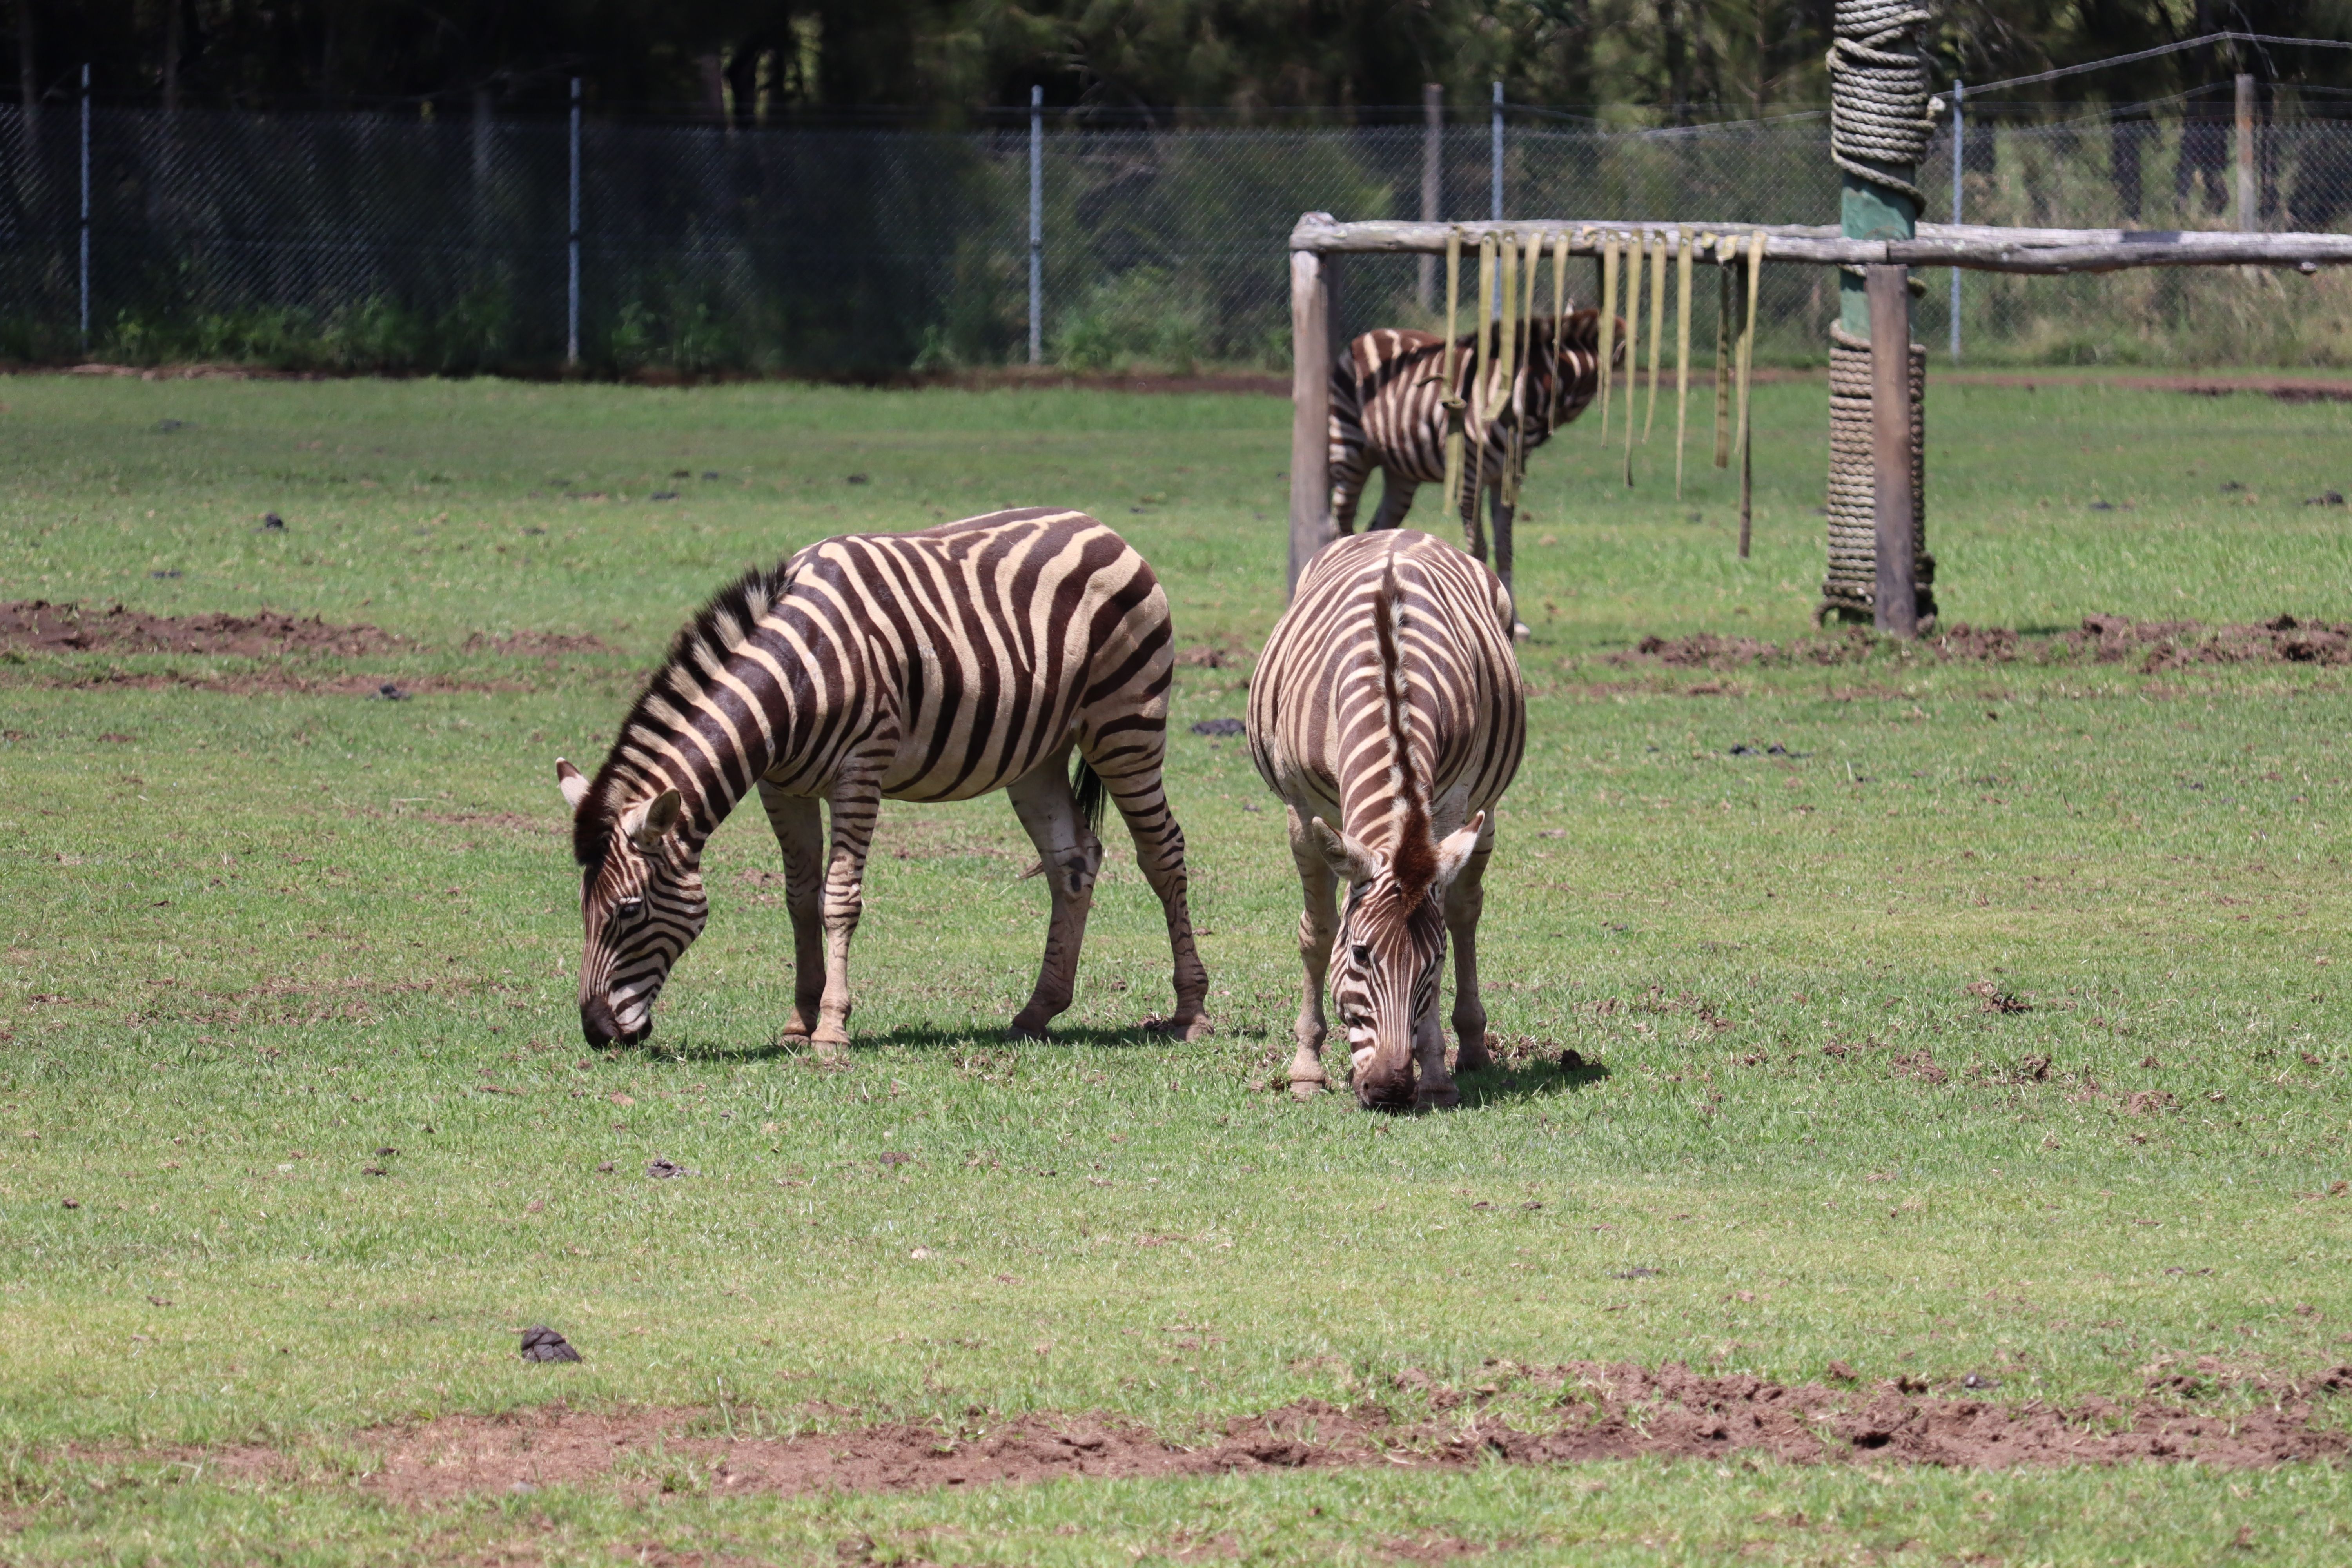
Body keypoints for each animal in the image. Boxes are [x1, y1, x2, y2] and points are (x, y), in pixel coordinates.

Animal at [554, 508, 1213, 1052]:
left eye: (628, 912)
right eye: (582, 909)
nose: (596, 1033)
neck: (793, 677)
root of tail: (1101, 526)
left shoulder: (860, 770)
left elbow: (839, 900)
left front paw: (832, 1031)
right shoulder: (780, 786)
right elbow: (799, 897)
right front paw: (800, 1020)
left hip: (1126, 725)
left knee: (1163, 852)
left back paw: (1191, 1013)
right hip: (1039, 755)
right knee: (1072, 860)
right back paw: (1038, 1011)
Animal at [1247, 529, 1525, 1110]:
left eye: (1432, 962)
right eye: (1360, 954)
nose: (1391, 1090)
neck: (1389, 683)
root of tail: (1404, 533)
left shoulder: (1450, 804)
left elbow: (1448, 922)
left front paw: (1437, 1075)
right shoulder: (1302, 812)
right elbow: (1317, 930)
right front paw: (1307, 1068)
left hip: (1485, 812)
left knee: (1466, 911)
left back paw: (1472, 1047)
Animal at [1327, 312, 1612, 627]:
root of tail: (1367, 335)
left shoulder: (1505, 481)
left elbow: (1506, 548)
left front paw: (1516, 621)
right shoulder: (1469, 475)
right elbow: (1479, 549)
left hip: (1401, 473)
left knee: (1379, 529)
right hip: (1349, 451)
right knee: (1341, 524)